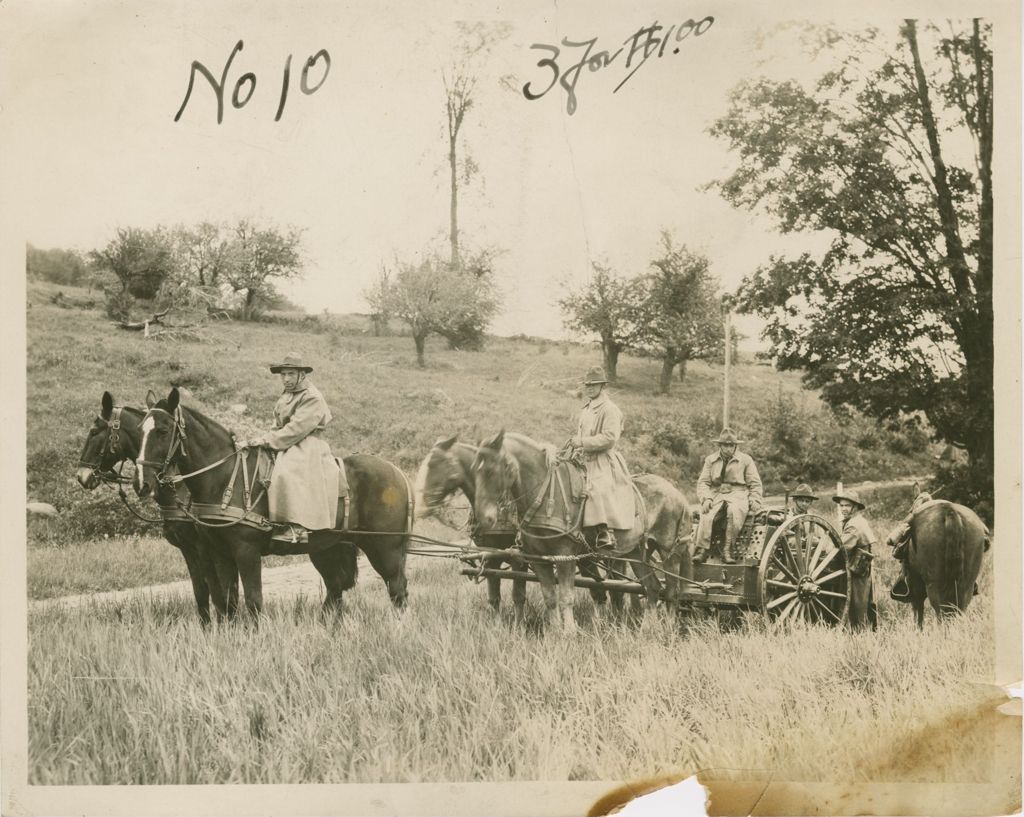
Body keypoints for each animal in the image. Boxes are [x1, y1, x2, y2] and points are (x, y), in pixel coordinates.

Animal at [74, 393, 237, 622]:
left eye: (94, 431)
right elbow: (201, 595)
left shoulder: (205, 548)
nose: (82, 476)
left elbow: (218, 595)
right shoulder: (189, 550)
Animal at [134, 387, 409, 618]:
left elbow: (253, 601)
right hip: (326, 548)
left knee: (397, 588)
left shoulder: (246, 551)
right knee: (336, 590)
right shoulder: (219, 552)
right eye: (140, 431)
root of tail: (397, 472)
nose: (141, 483)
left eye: (162, 431)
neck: (225, 477)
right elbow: (228, 602)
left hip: (385, 548)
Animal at [468, 432, 688, 630]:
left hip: (668, 551)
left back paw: (669, 628)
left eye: (490, 470)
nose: (484, 519)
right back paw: (648, 629)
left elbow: (566, 597)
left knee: (671, 592)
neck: (547, 494)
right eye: (473, 471)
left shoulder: (565, 555)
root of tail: (676, 492)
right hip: (635, 552)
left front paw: (569, 634)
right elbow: (550, 597)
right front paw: (554, 633)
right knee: (652, 588)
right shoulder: (538, 558)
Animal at [901, 489, 987, 630]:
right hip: (967, 586)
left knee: (940, 612)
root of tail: (950, 511)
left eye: (909, 510)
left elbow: (918, 611)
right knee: (960, 609)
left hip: (934, 586)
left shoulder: (915, 584)